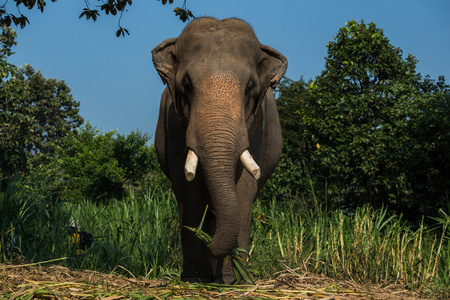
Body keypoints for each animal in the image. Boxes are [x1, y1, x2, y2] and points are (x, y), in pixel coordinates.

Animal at [151, 17, 284, 284]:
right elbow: (187, 188)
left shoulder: (256, 124)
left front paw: (234, 279)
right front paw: (195, 278)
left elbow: (243, 188)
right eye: (187, 85)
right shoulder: (174, 125)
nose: (212, 245)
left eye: (250, 87)